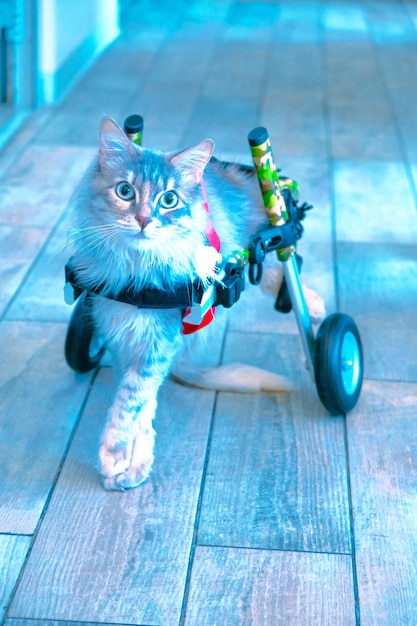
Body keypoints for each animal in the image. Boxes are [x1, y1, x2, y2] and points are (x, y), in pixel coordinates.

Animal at [69, 116, 324, 488]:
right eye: (125, 192)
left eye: (169, 200)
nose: (144, 220)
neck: (135, 268)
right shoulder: (122, 331)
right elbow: (142, 403)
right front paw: (135, 463)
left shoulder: (159, 338)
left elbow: (131, 400)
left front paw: (114, 455)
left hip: (258, 233)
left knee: (278, 258)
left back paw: (315, 308)